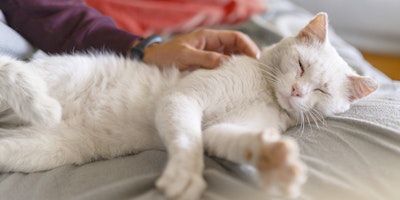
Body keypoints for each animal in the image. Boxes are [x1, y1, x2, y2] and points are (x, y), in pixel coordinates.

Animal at [0, 13, 378, 199]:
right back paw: (39, 102)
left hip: (40, 149)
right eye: (300, 65)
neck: (264, 91)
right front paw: (184, 176)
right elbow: (187, 139)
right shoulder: (183, 100)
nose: (298, 90)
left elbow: (219, 137)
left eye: (322, 90)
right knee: (9, 69)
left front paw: (273, 160)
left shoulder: (220, 128)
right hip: (62, 74)